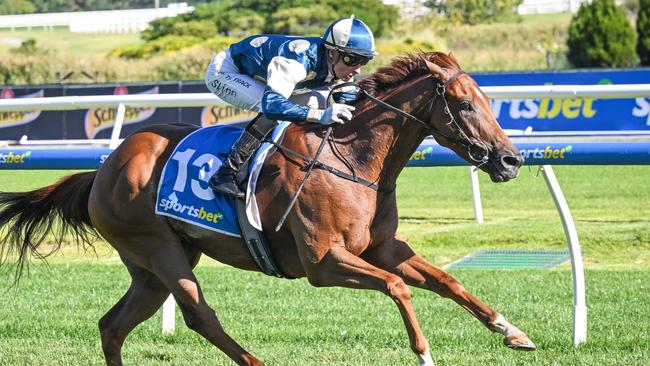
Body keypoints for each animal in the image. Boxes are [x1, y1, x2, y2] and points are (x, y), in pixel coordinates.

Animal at [0, 52, 532, 366]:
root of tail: (105, 168)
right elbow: (399, 287)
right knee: (199, 315)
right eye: (464, 105)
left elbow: (447, 281)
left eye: (489, 100)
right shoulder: (324, 262)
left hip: (151, 267)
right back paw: (254, 362)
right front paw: (424, 355)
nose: (512, 160)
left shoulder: (382, 248)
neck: (354, 158)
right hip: (157, 248)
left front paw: (512, 331)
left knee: (113, 326)